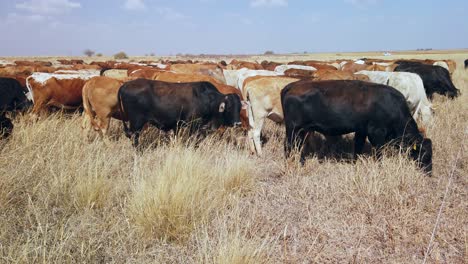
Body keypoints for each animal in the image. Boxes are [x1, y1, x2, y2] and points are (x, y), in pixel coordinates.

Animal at [280, 80, 434, 175]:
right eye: (425, 154)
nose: (429, 172)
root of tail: (292, 86)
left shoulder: (361, 130)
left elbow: (358, 148)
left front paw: (355, 164)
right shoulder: (376, 133)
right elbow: (379, 153)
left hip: (302, 130)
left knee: (298, 146)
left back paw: (301, 163)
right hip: (293, 129)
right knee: (288, 146)